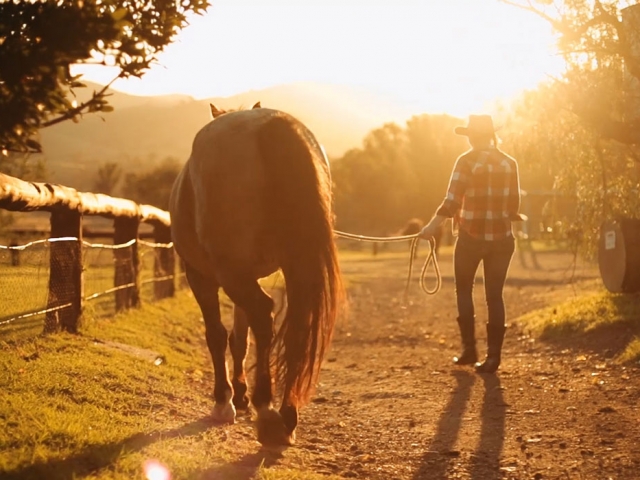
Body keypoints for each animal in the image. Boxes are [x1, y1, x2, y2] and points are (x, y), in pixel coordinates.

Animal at [168, 102, 342, 446]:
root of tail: (270, 123)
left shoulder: (202, 276)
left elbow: (217, 335)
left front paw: (225, 400)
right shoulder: (248, 274)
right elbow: (240, 338)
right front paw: (240, 395)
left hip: (230, 273)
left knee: (263, 313)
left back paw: (266, 411)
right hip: (286, 267)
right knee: (294, 325)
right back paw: (286, 414)